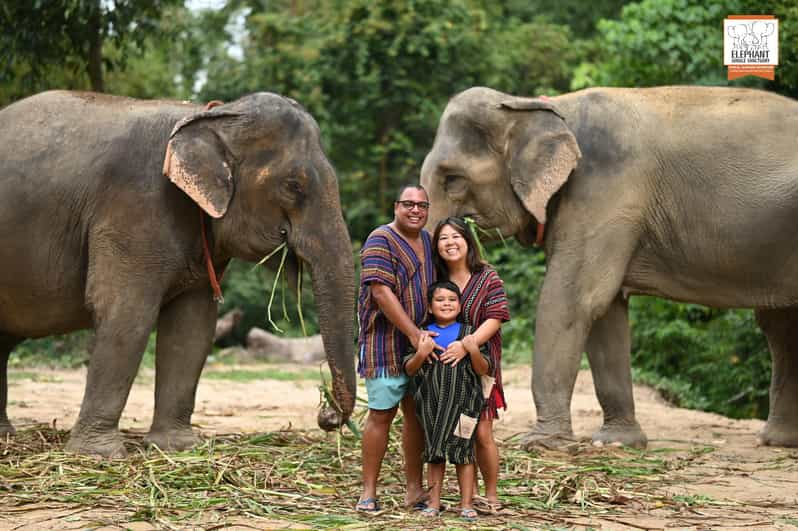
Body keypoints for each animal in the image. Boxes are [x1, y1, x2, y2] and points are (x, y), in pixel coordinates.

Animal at [0, 90, 356, 458]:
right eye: (293, 186)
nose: (326, 415)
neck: (211, 117)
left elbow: (192, 326)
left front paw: (178, 448)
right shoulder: (132, 207)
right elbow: (127, 314)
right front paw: (99, 454)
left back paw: (5, 435)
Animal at [418, 86, 798, 448]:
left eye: (453, 180)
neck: (542, 106)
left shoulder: (605, 193)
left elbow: (574, 300)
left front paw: (542, 444)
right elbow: (606, 313)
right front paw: (616, 442)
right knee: (780, 325)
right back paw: (778, 441)